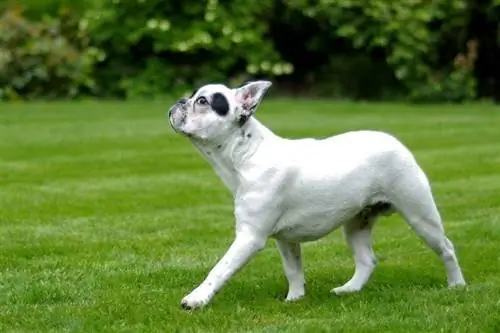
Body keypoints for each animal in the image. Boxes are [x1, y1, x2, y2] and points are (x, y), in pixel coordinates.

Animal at [169, 80, 468, 308]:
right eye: (193, 96)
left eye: (203, 101)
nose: (181, 100)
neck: (245, 154)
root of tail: (396, 142)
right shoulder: (285, 240)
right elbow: (293, 269)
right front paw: (295, 299)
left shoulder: (250, 237)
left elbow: (220, 269)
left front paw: (196, 299)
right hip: (357, 223)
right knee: (366, 260)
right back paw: (350, 289)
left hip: (419, 214)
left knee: (446, 248)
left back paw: (456, 285)